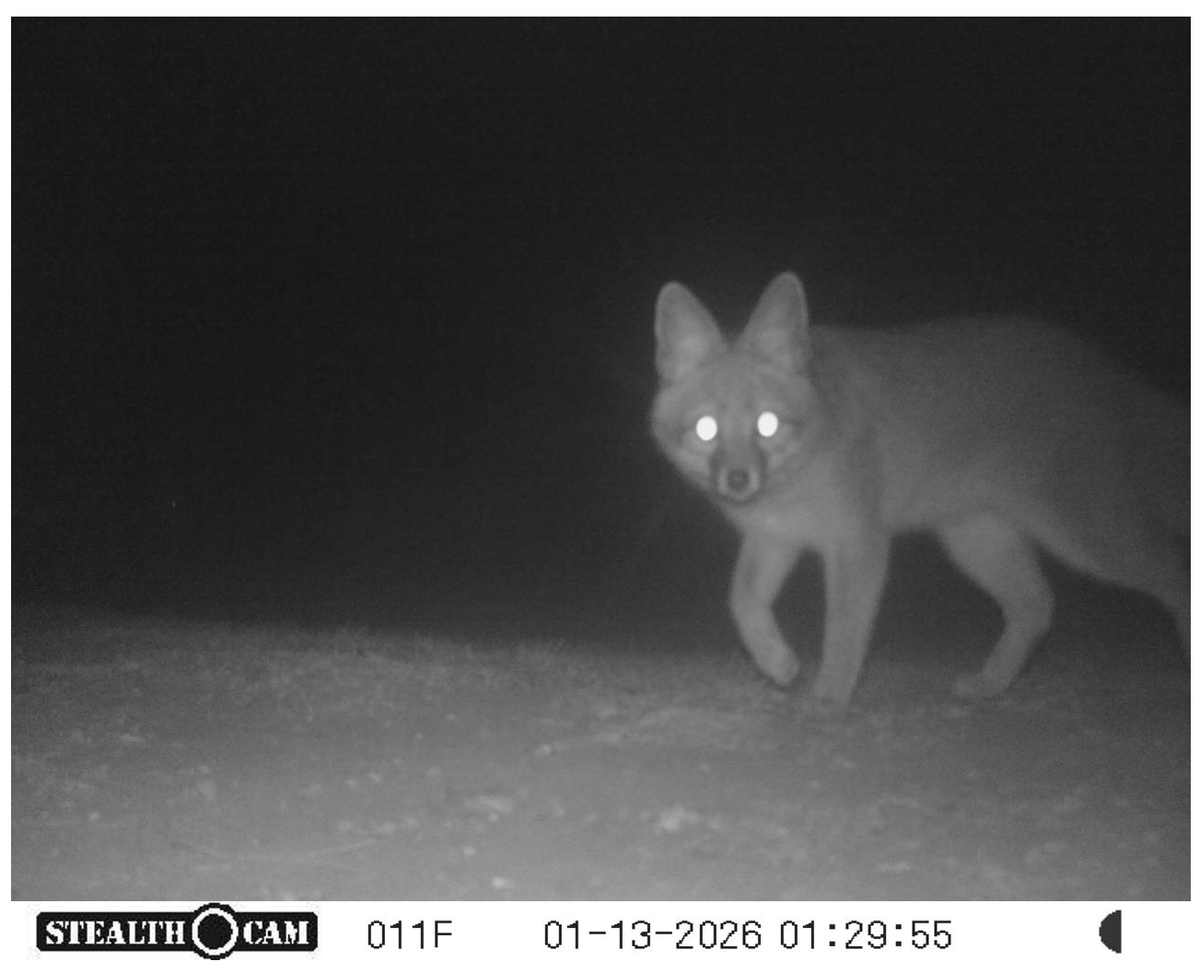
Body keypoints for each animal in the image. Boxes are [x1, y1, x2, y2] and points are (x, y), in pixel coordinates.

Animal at [650, 271, 1188, 707]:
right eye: (706, 430)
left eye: (766, 423)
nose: (738, 479)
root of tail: (1101, 366)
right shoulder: (774, 539)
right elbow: (742, 605)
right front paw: (778, 664)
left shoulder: (858, 543)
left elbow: (844, 629)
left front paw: (830, 698)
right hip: (976, 543)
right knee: (1037, 607)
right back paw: (988, 686)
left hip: (1087, 540)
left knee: (1174, 575)